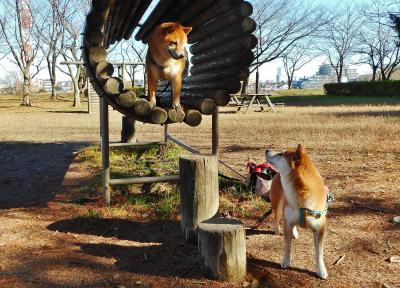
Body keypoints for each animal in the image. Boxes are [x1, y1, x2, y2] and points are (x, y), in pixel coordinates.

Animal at [266, 145, 328, 280]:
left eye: (281, 154)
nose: (267, 150)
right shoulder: (288, 222)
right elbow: (287, 247)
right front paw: (286, 261)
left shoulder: (319, 229)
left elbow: (319, 253)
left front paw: (321, 270)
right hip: (278, 203)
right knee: (276, 216)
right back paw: (277, 229)